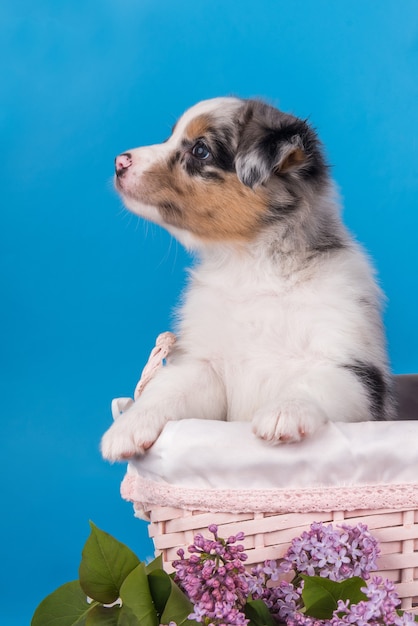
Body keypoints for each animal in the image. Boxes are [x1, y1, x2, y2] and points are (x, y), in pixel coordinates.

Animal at [99, 95, 394, 460]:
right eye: (171, 136)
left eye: (200, 150)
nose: (118, 161)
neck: (253, 265)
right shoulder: (205, 365)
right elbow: (169, 390)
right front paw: (127, 426)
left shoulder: (352, 369)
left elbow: (314, 383)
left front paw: (285, 411)